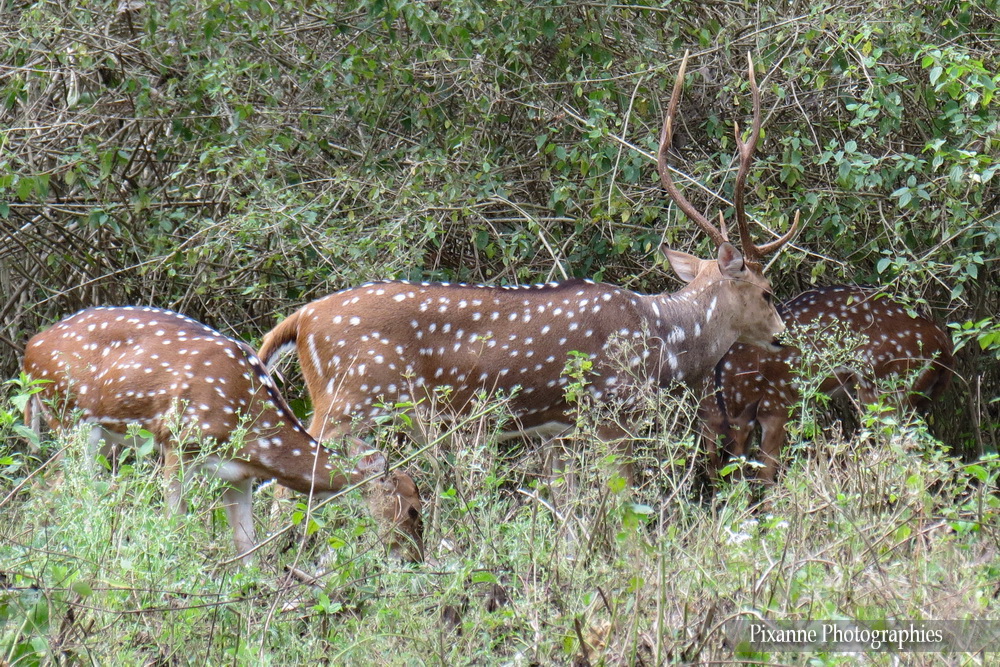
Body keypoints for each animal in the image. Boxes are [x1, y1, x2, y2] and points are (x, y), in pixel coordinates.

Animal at [22, 306, 424, 564]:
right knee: (71, 493)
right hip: (71, 419)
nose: (415, 558)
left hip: (101, 435)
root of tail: (28, 350)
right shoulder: (178, 441)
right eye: (413, 510)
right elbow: (174, 524)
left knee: (48, 488)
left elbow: (247, 548)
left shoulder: (238, 476)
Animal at [257, 52, 801, 484]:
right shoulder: (611, 412)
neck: (663, 342)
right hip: (349, 399)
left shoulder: (555, 432)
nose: (783, 335)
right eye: (768, 290)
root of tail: (301, 320)